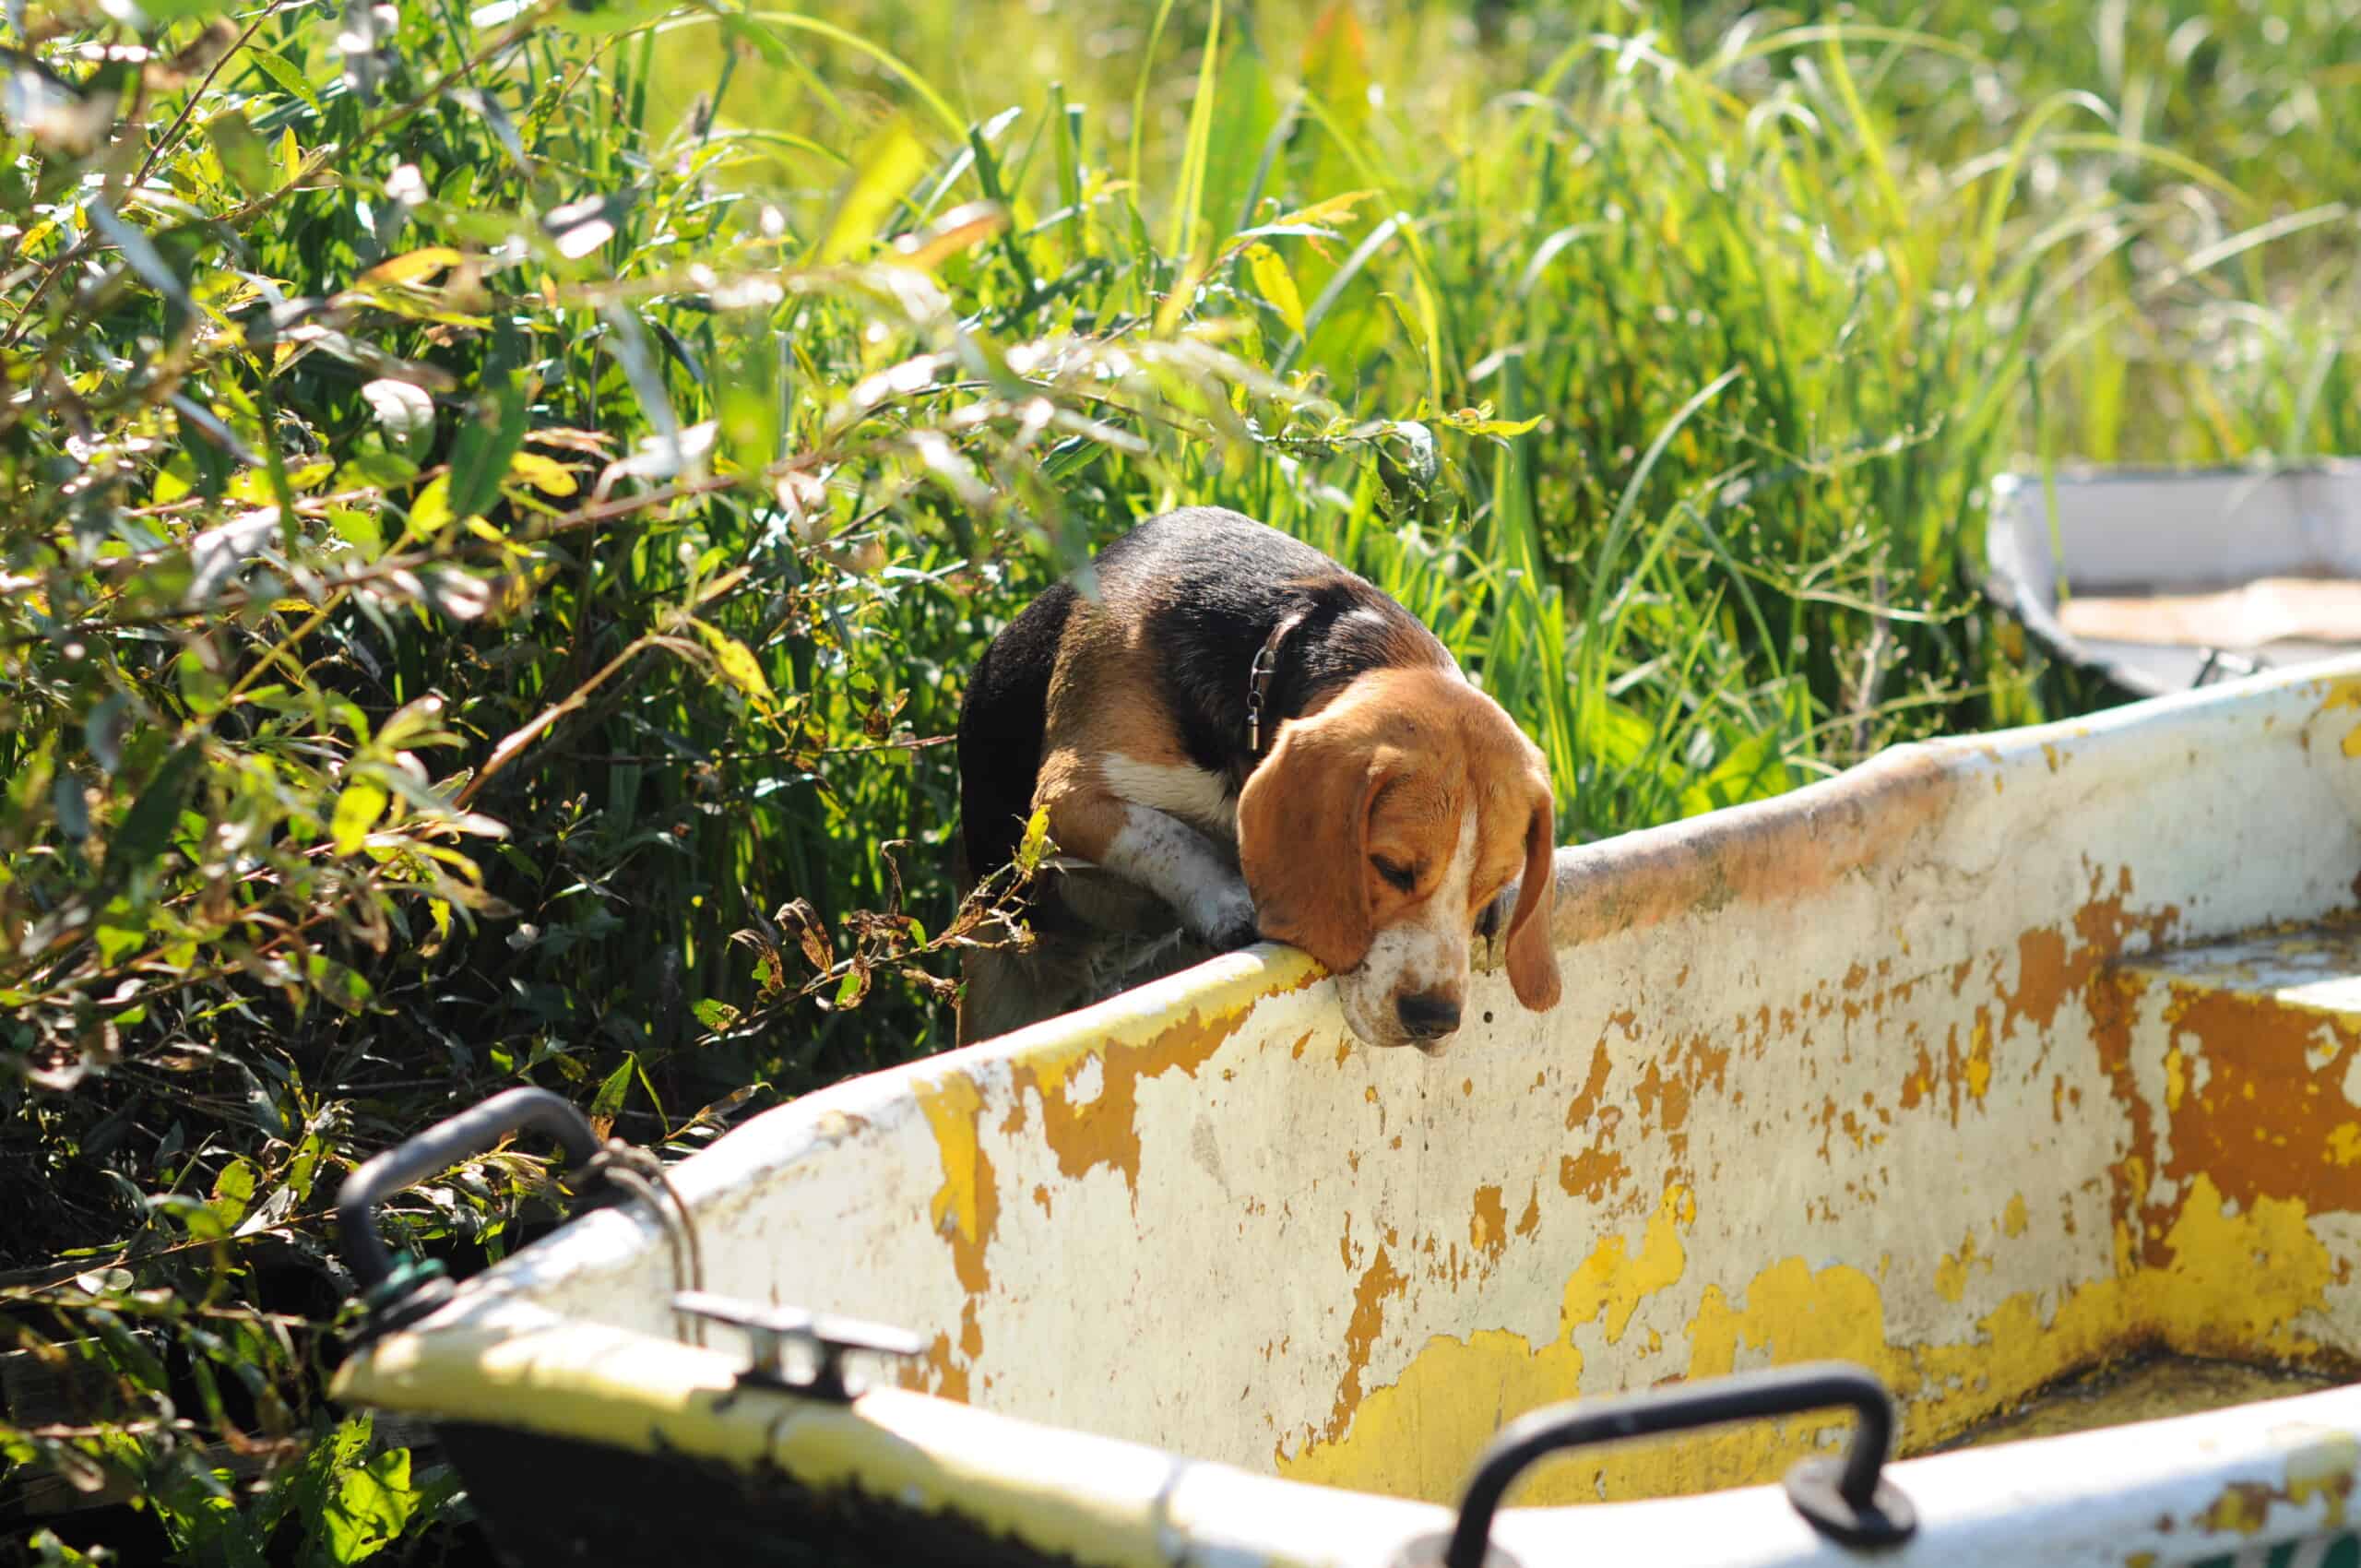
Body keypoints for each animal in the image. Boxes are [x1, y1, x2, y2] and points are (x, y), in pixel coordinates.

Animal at [949, 512, 1558, 1052]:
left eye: (1492, 883)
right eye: (1390, 868)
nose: (1434, 1019)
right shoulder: (1067, 795)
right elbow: (1168, 835)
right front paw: (1229, 900)